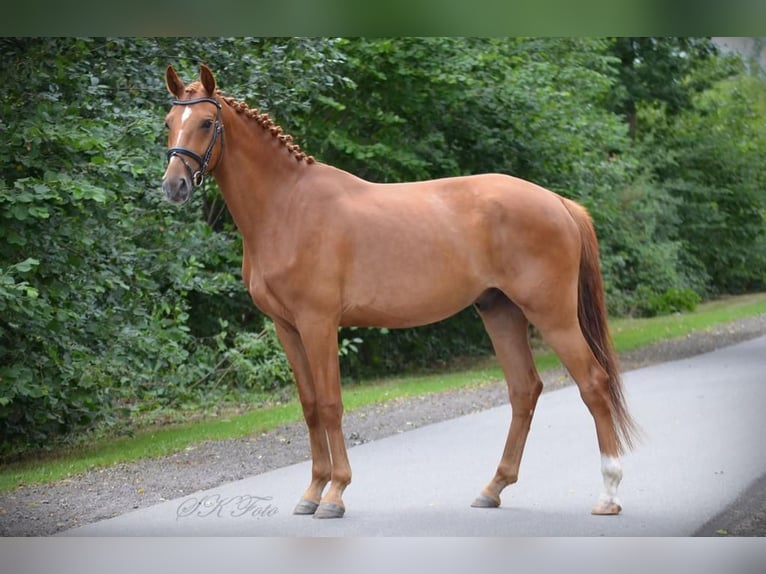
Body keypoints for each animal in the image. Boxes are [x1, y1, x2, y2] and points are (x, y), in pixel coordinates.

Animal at [161, 64, 639, 519]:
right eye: (168, 121)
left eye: (206, 122)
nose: (173, 186)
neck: (288, 207)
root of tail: (560, 203)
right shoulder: (286, 327)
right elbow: (310, 406)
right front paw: (312, 492)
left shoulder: (319, 323)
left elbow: (331, 404)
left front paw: (335, 493)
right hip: (500, 311)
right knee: (525, 390)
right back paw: (493, 488)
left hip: (552, 315)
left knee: (593, 383)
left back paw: (609, 492)